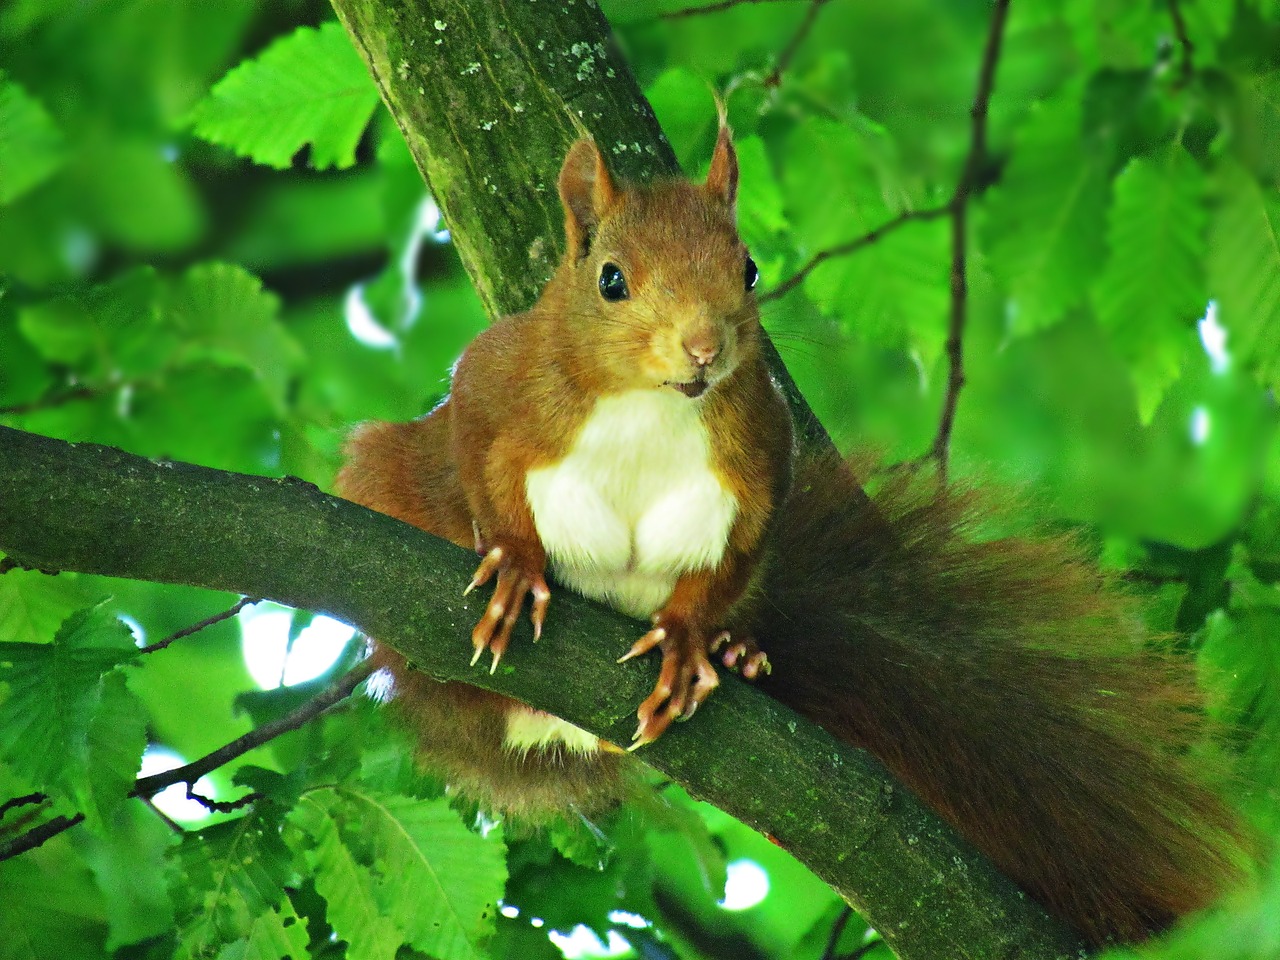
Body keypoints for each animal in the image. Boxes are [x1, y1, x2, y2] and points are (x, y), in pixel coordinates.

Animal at [335, 123, 1252, 946]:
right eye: (610, 280)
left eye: (747, 268)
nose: (705, 346)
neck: (652, 408)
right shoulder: (494, 381)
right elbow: (477, 459)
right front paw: (518, 566)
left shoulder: (758, 464)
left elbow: (731, 560)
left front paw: (689, 640)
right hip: (382, 483)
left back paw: (740, 653)